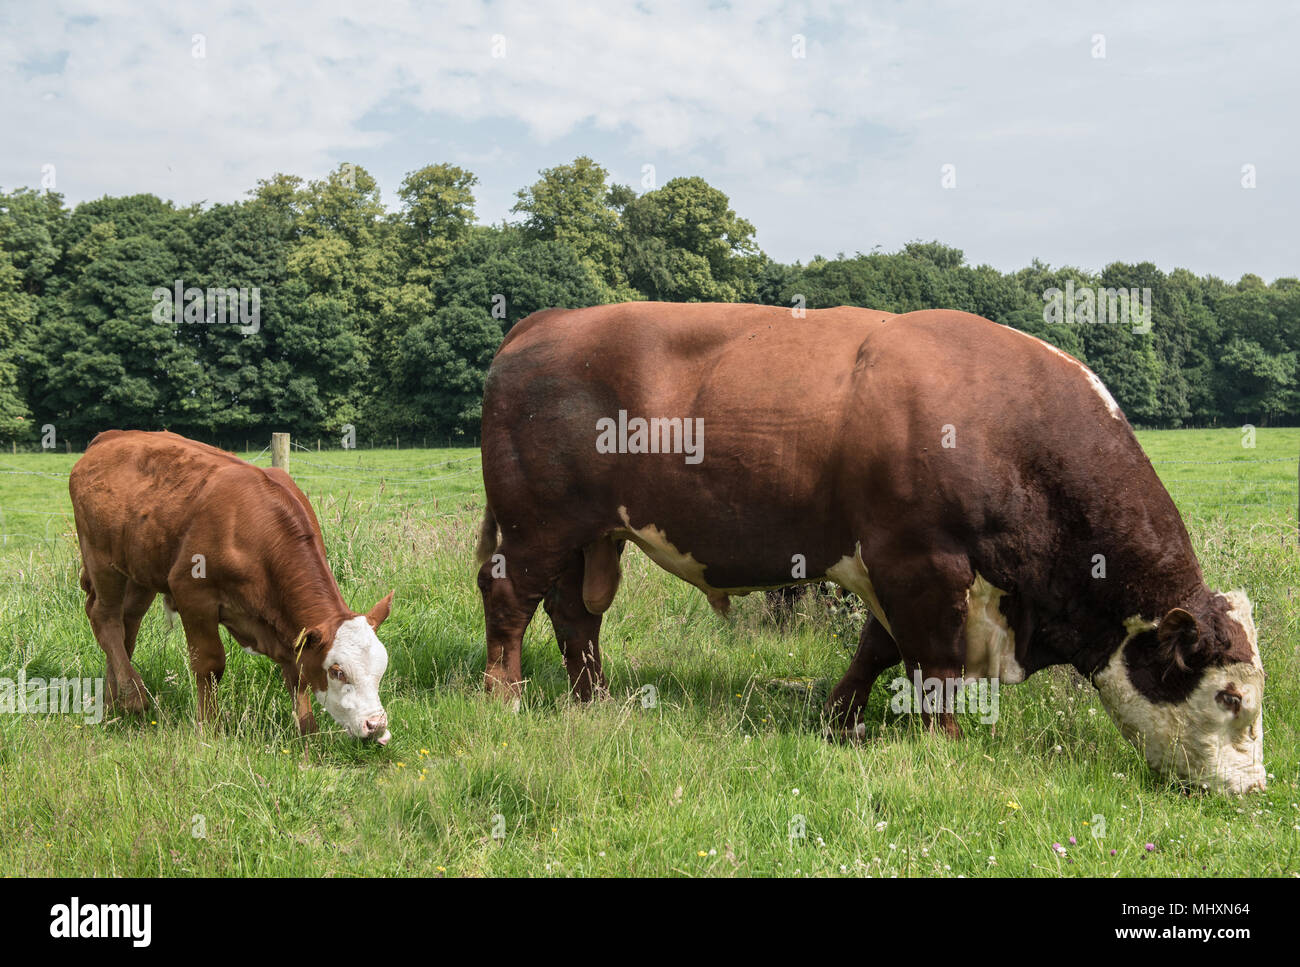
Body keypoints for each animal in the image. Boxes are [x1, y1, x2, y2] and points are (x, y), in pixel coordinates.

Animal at [69, 430, 395, 743]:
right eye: (337, 671)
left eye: (382, 667)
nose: (376, 725)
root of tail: (110, 436)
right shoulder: (192, 594)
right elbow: (210, 664)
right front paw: (209, 727)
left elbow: (297, 674)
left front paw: (307, 734)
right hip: (102, 560)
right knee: (105, 618)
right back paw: (133, 697)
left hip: (142, 570)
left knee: (128, 626)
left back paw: (113, 701)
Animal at [475, 302, 1266, 795]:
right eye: (1227, 696)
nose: (1253, 791)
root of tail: (548, 321)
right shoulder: (924, 565)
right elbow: (935, 663)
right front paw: (944, 742)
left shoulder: (901, 572)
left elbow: (875, 650)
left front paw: (838, 721)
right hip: (537, 526)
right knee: (510, 601)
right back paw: (504, 698)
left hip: (592, 538)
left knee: (577, 618)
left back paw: (595, 701)